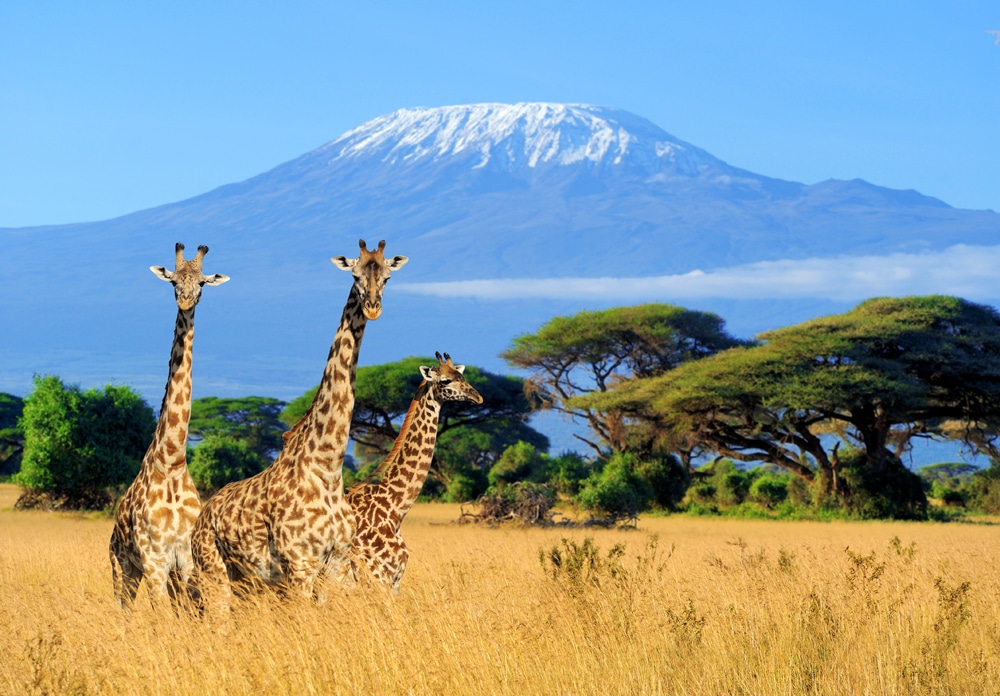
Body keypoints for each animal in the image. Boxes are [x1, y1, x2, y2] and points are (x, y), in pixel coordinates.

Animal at [108, 242, 229, 612]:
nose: (186, 301)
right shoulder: (154, 560)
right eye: (173, 281)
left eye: (202, 283)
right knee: (123, 610)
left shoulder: (185, 560)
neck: (173, 460)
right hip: (122, 567)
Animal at [191, 238, 406, 608]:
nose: (373, 307)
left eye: (388, 277)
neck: (327, 468)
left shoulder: (336, 564)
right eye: (355, 275)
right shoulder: (300, 565)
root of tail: (202, 517)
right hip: (213, 572)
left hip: (246, 581)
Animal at [330, 350, 482, 588]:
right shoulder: (376, 578)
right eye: (445, 380)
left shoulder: (394, 581)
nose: (478, 397)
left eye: (462, 375)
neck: (394, 509)